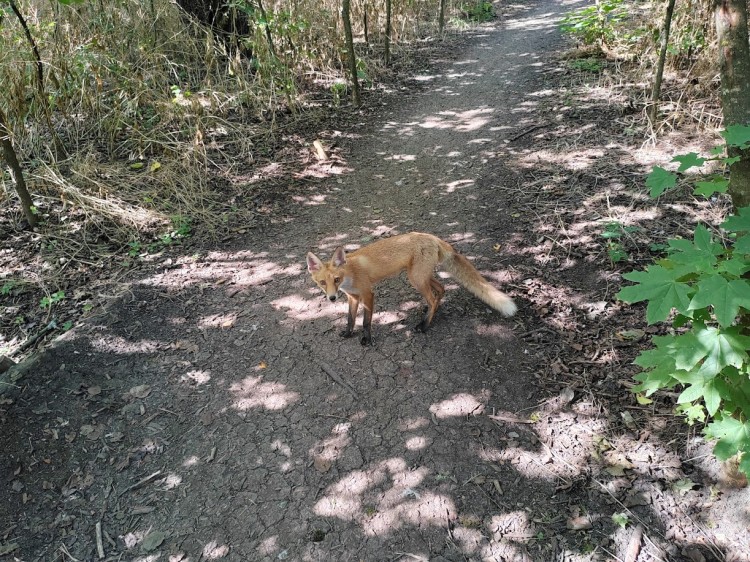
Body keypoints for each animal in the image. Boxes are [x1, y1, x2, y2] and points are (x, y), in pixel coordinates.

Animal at [306, 232, 517, 345]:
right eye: (323, 282)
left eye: (336, 279)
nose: (332, 298)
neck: (349, 275)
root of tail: (432, 237)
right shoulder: (353, 297)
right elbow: (350, 319)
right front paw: (348, 333)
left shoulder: (368, 294)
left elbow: (365, 322)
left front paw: (367, 339)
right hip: (421, 276)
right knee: (441, 289)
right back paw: (430, 313)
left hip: (415, 278)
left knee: (433, 297)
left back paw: (424, 326)